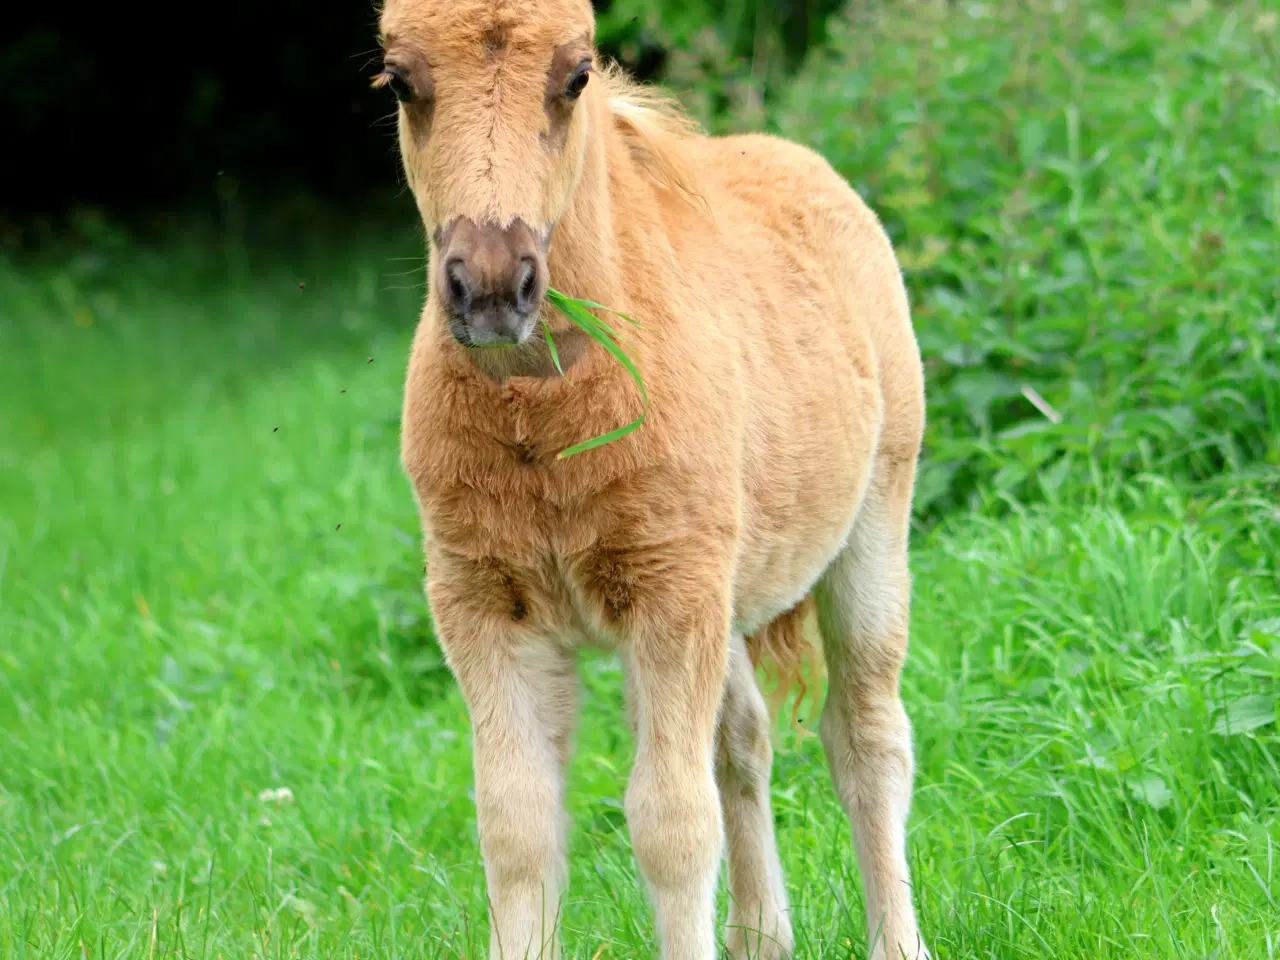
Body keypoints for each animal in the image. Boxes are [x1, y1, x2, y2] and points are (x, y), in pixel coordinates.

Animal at [378, 1, 931, 960]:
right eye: (402, 80)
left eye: (574, 77)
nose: (492, 287)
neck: (542, 423)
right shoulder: (483, 605)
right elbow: (517, 824)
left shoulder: (671, 595)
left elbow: (671, 821)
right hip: (725, 591)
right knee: (742, 738)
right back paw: (760, 935)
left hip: (869, 530)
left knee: (866, 737)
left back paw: (898, 941)